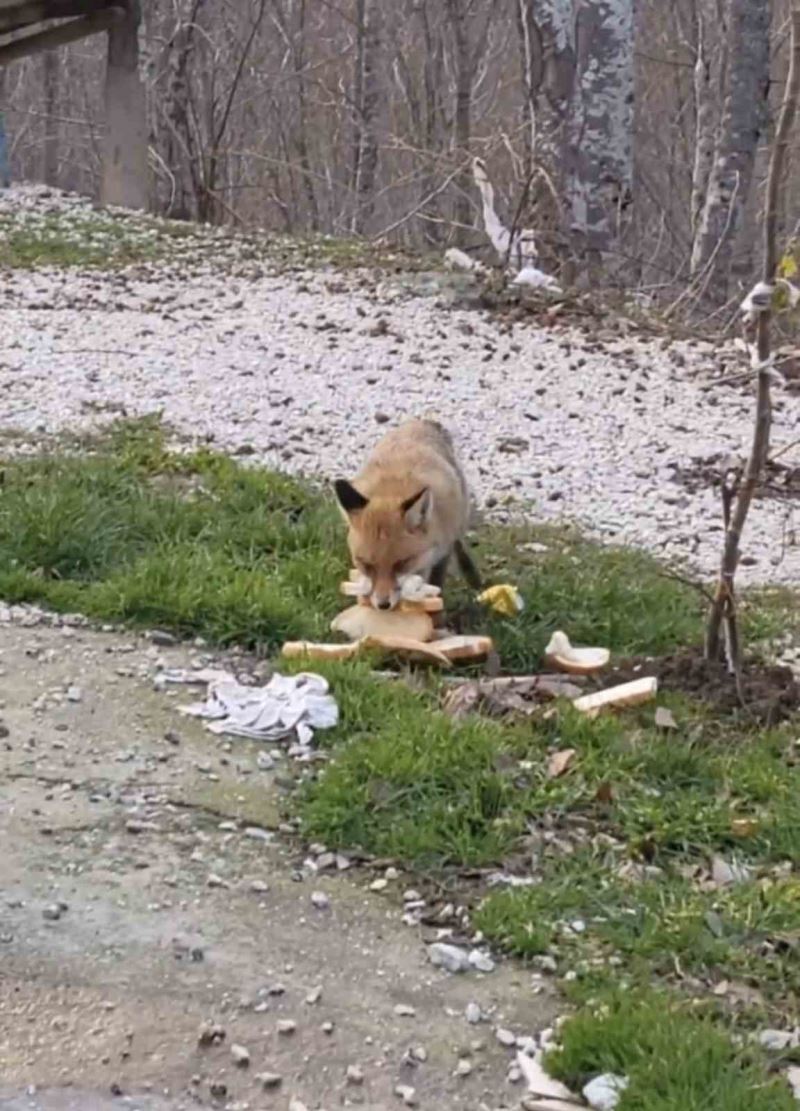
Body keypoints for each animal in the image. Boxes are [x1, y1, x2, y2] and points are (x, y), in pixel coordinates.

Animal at [333, 417, 482, 613]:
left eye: (402, 563)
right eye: (366, 565)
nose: (383, 605)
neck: (392, 490)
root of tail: (422, 422)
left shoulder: (442, 553)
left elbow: (437, 584)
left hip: (460, 515)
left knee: (460, 544)